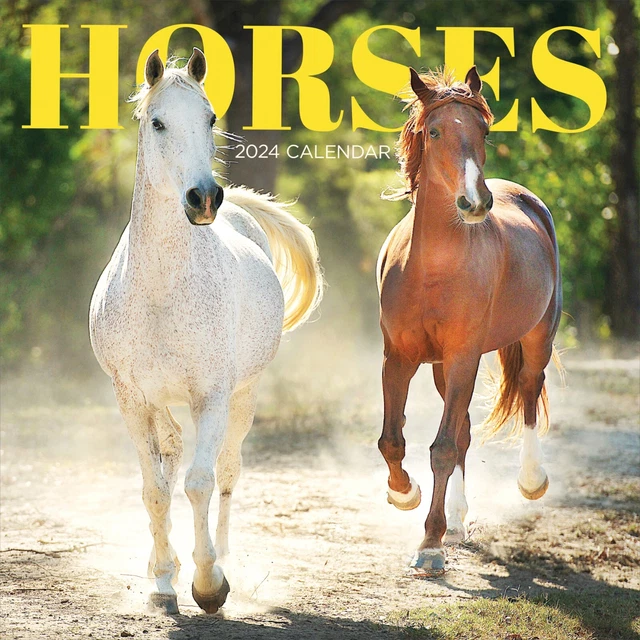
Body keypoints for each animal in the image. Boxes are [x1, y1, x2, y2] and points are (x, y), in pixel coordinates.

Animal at [89, 49, 323, 614]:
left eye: (211, 118)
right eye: (157, 122)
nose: (203, 198)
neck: (160, 292)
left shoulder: (212, 397)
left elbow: (200, 482)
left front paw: (209, 583)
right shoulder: (132, 398)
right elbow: (155, 488)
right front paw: (162, 581)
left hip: (244, 396)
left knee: (228, 473)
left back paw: (224, 560)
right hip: (161, 402)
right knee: (171, 457)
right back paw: (163, 569)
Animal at [376, 66, 563, 576]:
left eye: (484, 131)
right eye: (434, 132)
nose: (475, 201)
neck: (431, 268)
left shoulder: (463, 356)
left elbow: (440, 448)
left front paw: (430, 544)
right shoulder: (398, 358)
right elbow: (393, 440)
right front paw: (405, 493)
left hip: (536, 338)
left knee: (529, 392)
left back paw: (531, 480)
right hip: (442, 369)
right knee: (462, 431)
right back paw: (457, 522)